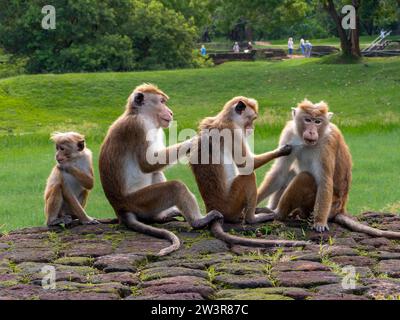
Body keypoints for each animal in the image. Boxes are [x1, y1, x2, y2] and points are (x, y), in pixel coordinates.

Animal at [97, 84, 222, 256]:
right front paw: (196, 140)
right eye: (161, 102)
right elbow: (147, 164)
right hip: (139, 201)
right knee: (175, 187)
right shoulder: (137, 127)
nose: (170, 112)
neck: (142, 115)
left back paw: (161, 216)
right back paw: (198, 221)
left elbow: (153, 166)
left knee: (156, 173)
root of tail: (120, 209)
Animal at [190, 97, 310, 248]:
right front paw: (282, 150)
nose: (251, 128)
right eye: (251, 119)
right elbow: (247, 164)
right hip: (231, 205)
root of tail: (212, 207)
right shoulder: (233, 132)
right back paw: (252, 218)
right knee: (248, 177)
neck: (226, 118)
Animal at [258, 99, 400, 238]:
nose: (312, 131)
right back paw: (272, 210)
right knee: (292, 172)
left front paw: (320, 222)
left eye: (317, 121)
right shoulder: (289, 133)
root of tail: (340, 209)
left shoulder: (328, 144)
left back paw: (277, 213)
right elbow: (280, 171)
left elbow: (324, 180)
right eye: (308, 120)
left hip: (323, 207)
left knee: (305, 177)